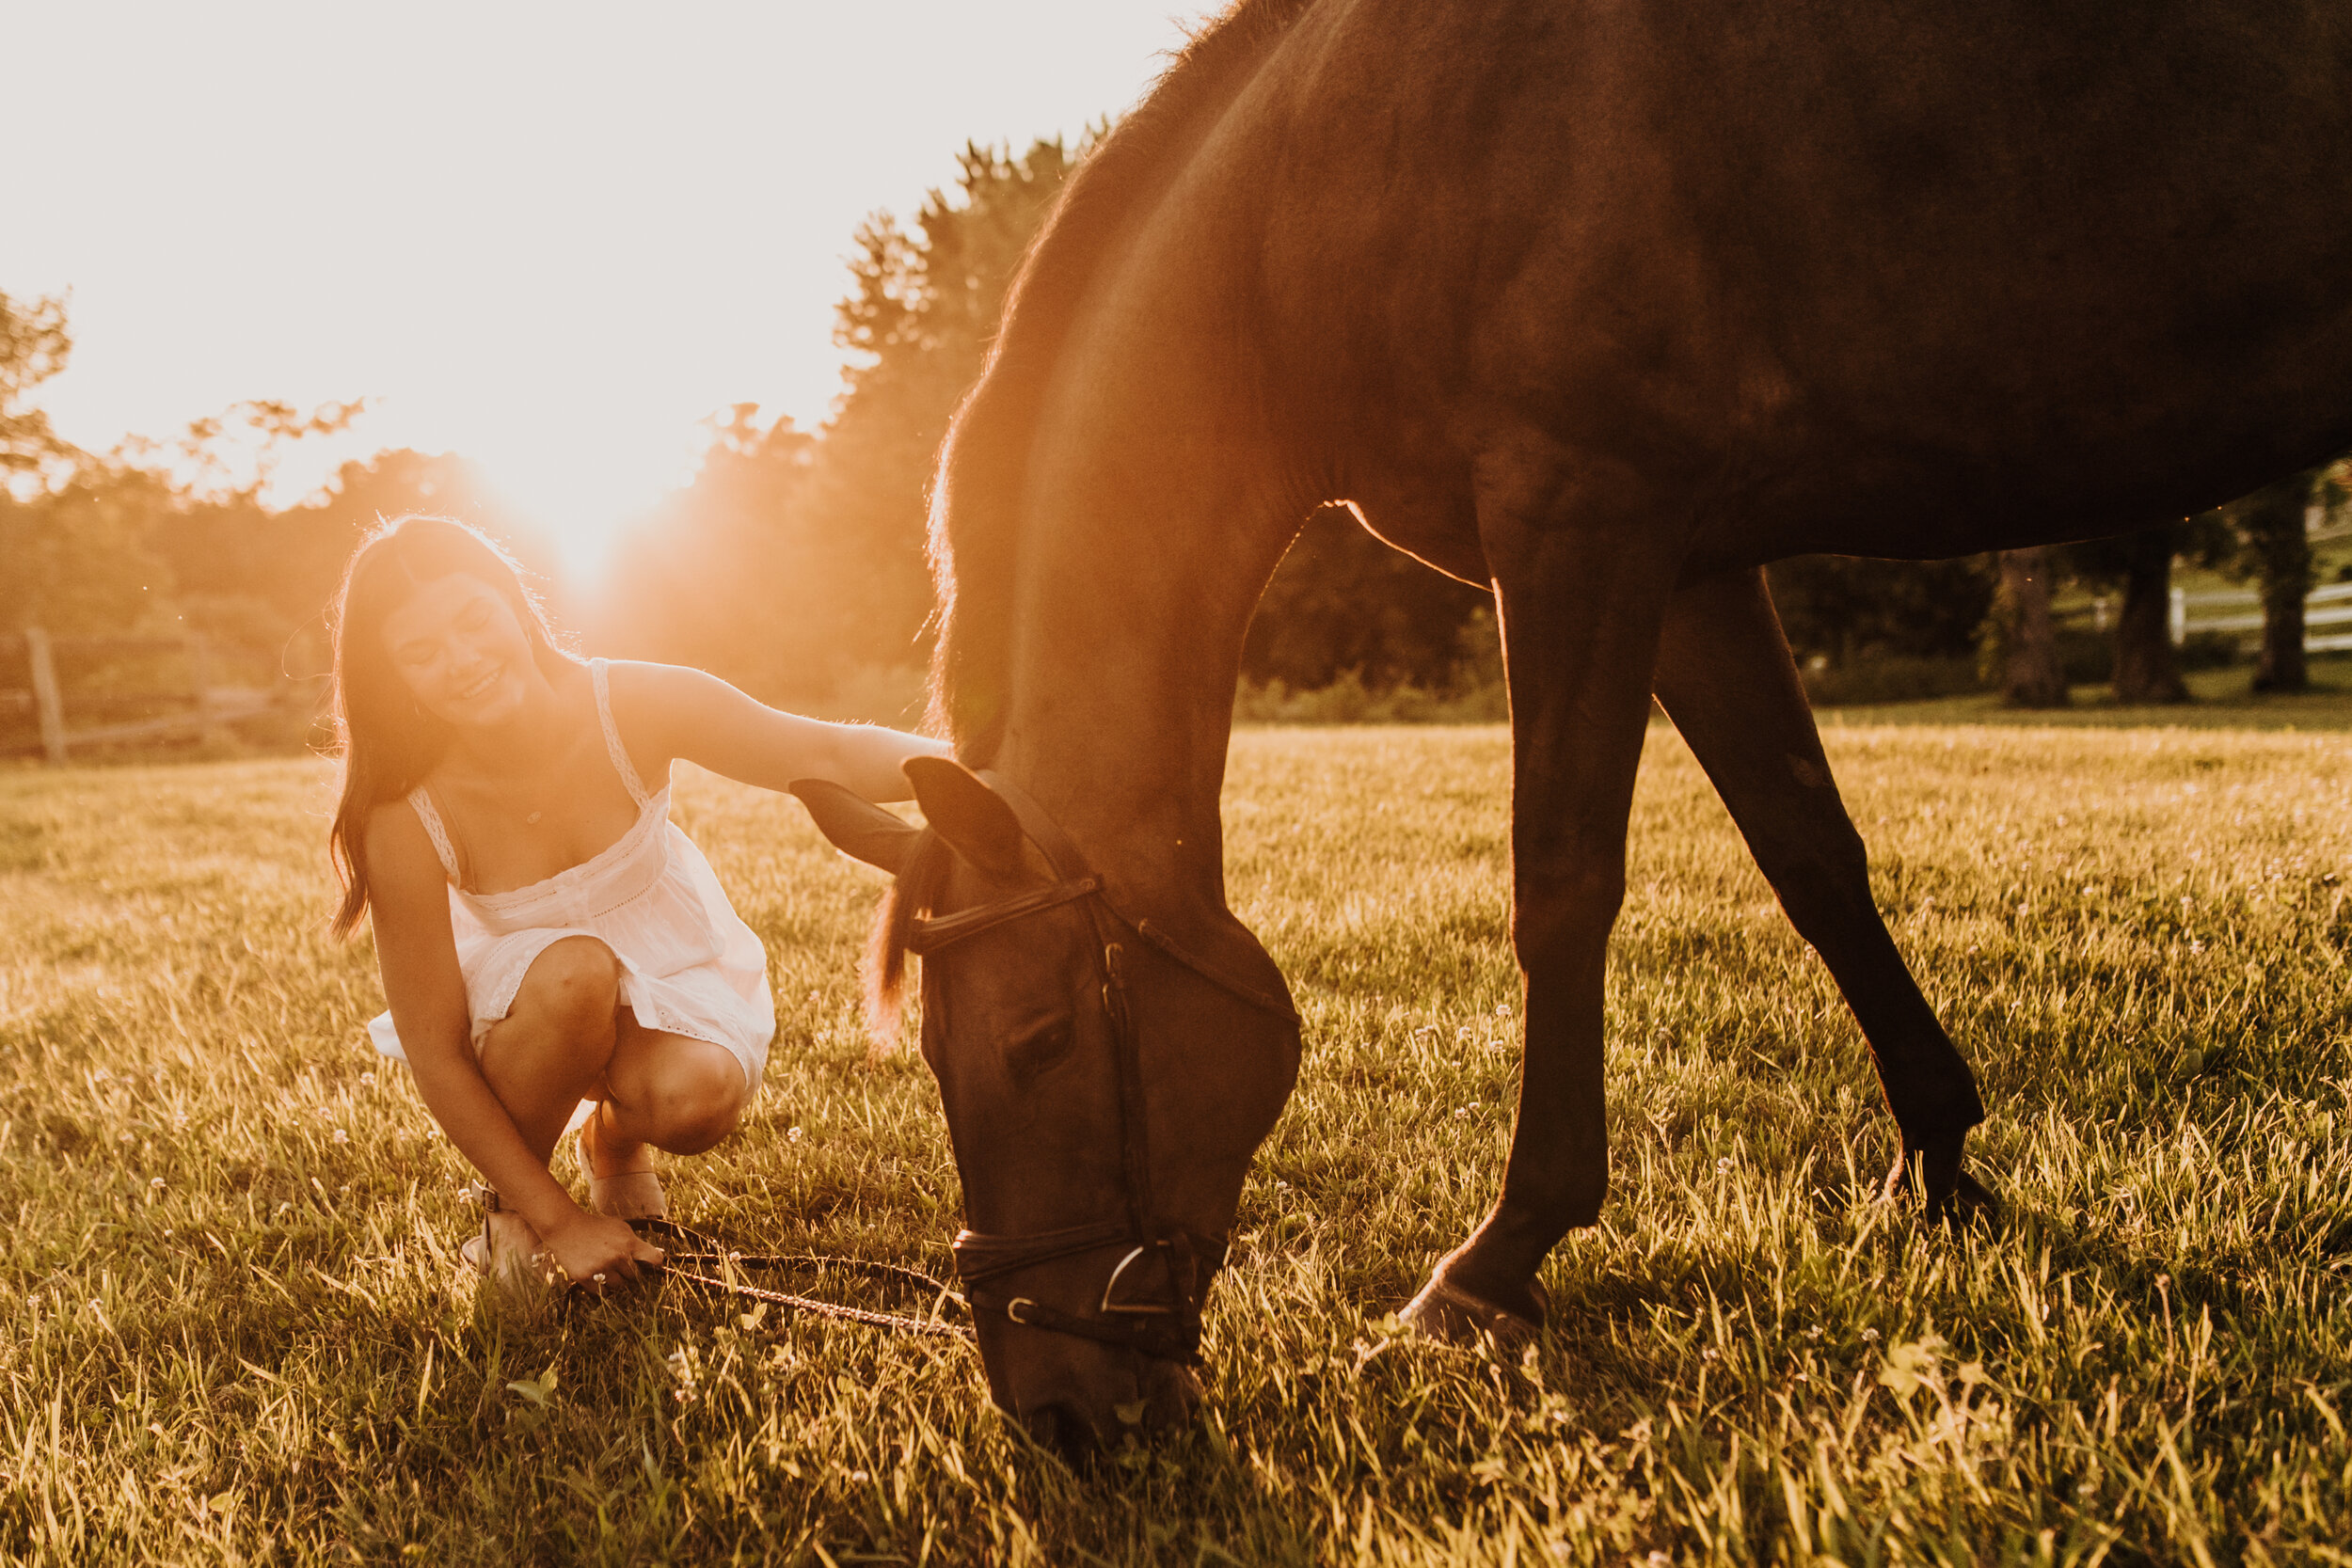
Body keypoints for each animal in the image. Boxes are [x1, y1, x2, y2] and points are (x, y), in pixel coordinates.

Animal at [790, 0, 2352, 1448]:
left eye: (1041, 1040)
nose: (1054, 1403)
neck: (1335, 180)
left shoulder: (1578, 519)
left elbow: (1561, 887)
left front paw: (1497, 1258)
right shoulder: (1696, 566)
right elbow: (1812, 852)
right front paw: (1936, 1154)